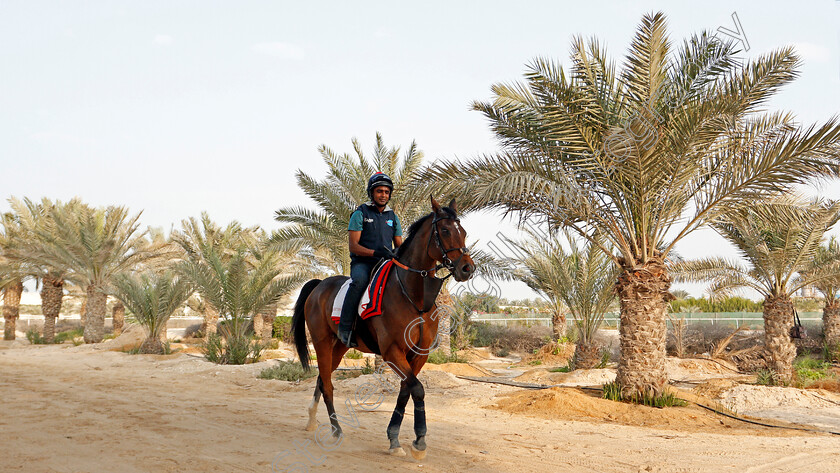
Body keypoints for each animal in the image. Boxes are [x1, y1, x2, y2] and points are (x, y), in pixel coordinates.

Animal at [290, 195, 476, 458]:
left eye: (464, 232)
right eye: (446, 231)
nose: (467, 268)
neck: (414, 296)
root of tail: (319, 285)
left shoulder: (419, 355)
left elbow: (406, 390)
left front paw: (394, 438)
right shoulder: (391, 352)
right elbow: (417, 389)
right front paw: (419, 441)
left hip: (340, 347)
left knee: (321, 379)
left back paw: (311, 420)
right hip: (322, 343)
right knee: (327, 385)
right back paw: (336, 431)